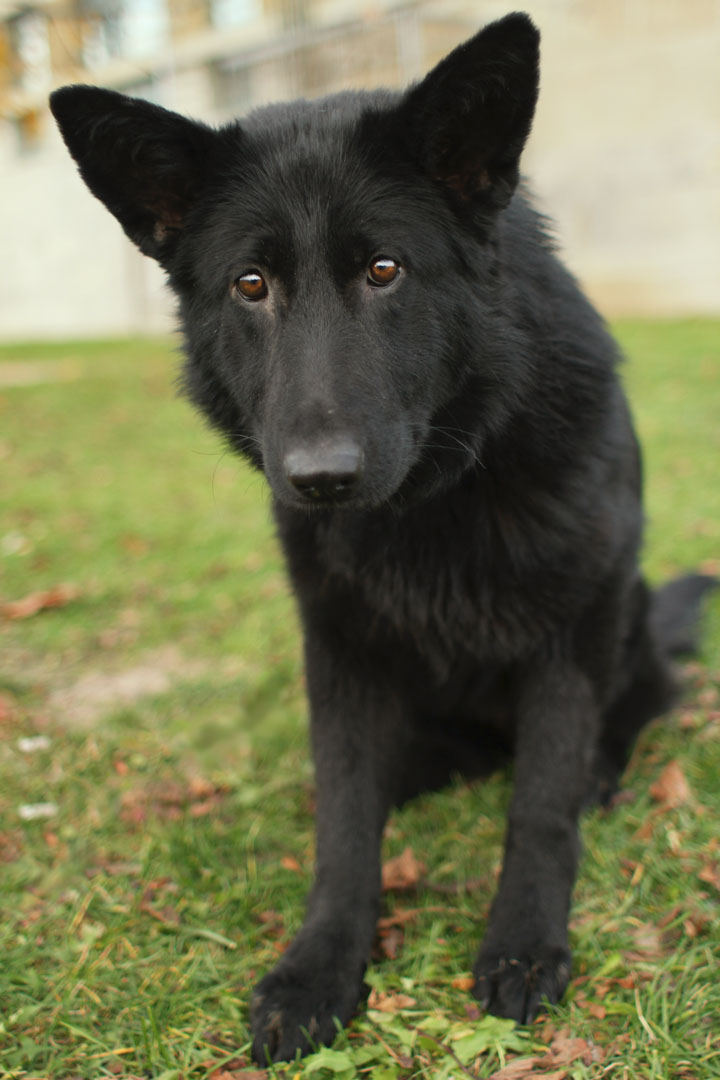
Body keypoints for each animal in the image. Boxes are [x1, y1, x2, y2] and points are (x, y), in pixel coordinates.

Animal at [50, 12, 716, 1062]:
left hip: (629, 610)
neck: (434, 501)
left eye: (384, 270)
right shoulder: (341, 652)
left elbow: (539, 808)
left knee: (626, 713)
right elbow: (344, 823)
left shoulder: (568, 633)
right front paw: (321, 964)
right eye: (250, 284)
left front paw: (525, 941)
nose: (320, 479)